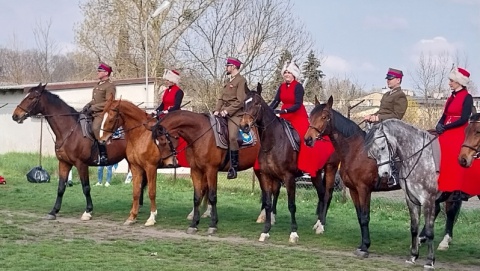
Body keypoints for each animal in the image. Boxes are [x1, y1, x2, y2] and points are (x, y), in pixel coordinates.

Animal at [11, 84, 129, 222]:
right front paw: (53, 211)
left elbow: (86, 187)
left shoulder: (81, 164)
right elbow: (61, 187)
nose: (15, 115)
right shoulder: (64, 163)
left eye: (31, 97)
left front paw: (88, 211)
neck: (70, 130)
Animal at [304, 96, 402, 260]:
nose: (308, 139)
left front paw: (365, 247)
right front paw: (363, 245)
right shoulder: (353, 190)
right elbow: (359, 217)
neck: (357, 151)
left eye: (324, 117)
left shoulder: (364, 189)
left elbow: (365, 217)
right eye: (310, 117)